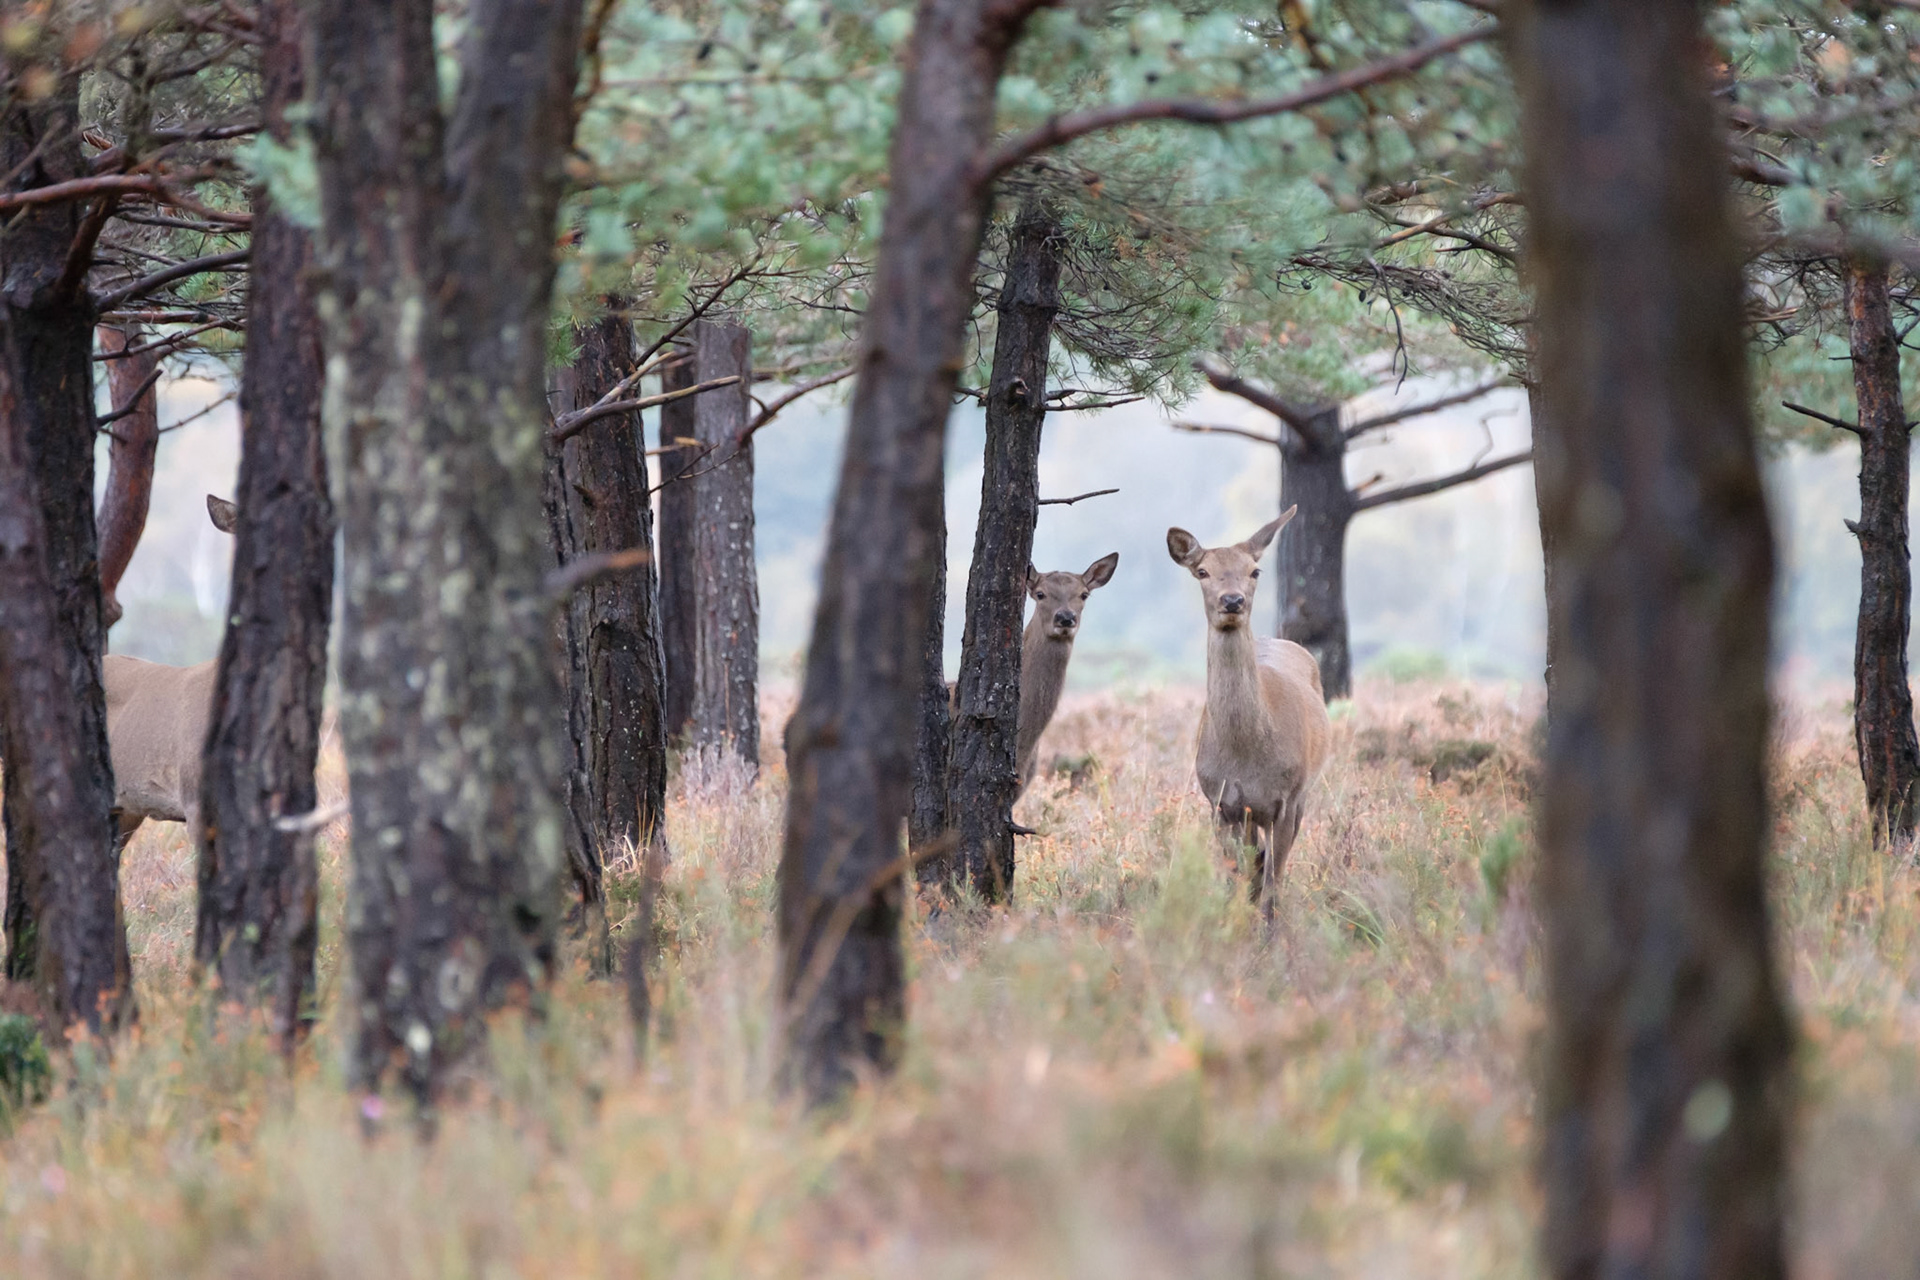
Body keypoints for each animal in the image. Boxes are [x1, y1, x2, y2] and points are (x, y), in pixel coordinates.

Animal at [1165, 507, 1331, 918]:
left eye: (1255, 571)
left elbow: (1272, 885)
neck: (1247, 755)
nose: (1232, 600)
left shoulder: (1286, 798)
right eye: (1202, 571)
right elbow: (1235, 879)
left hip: (1303, 792)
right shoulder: (1219, 801)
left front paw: (1269, 932)